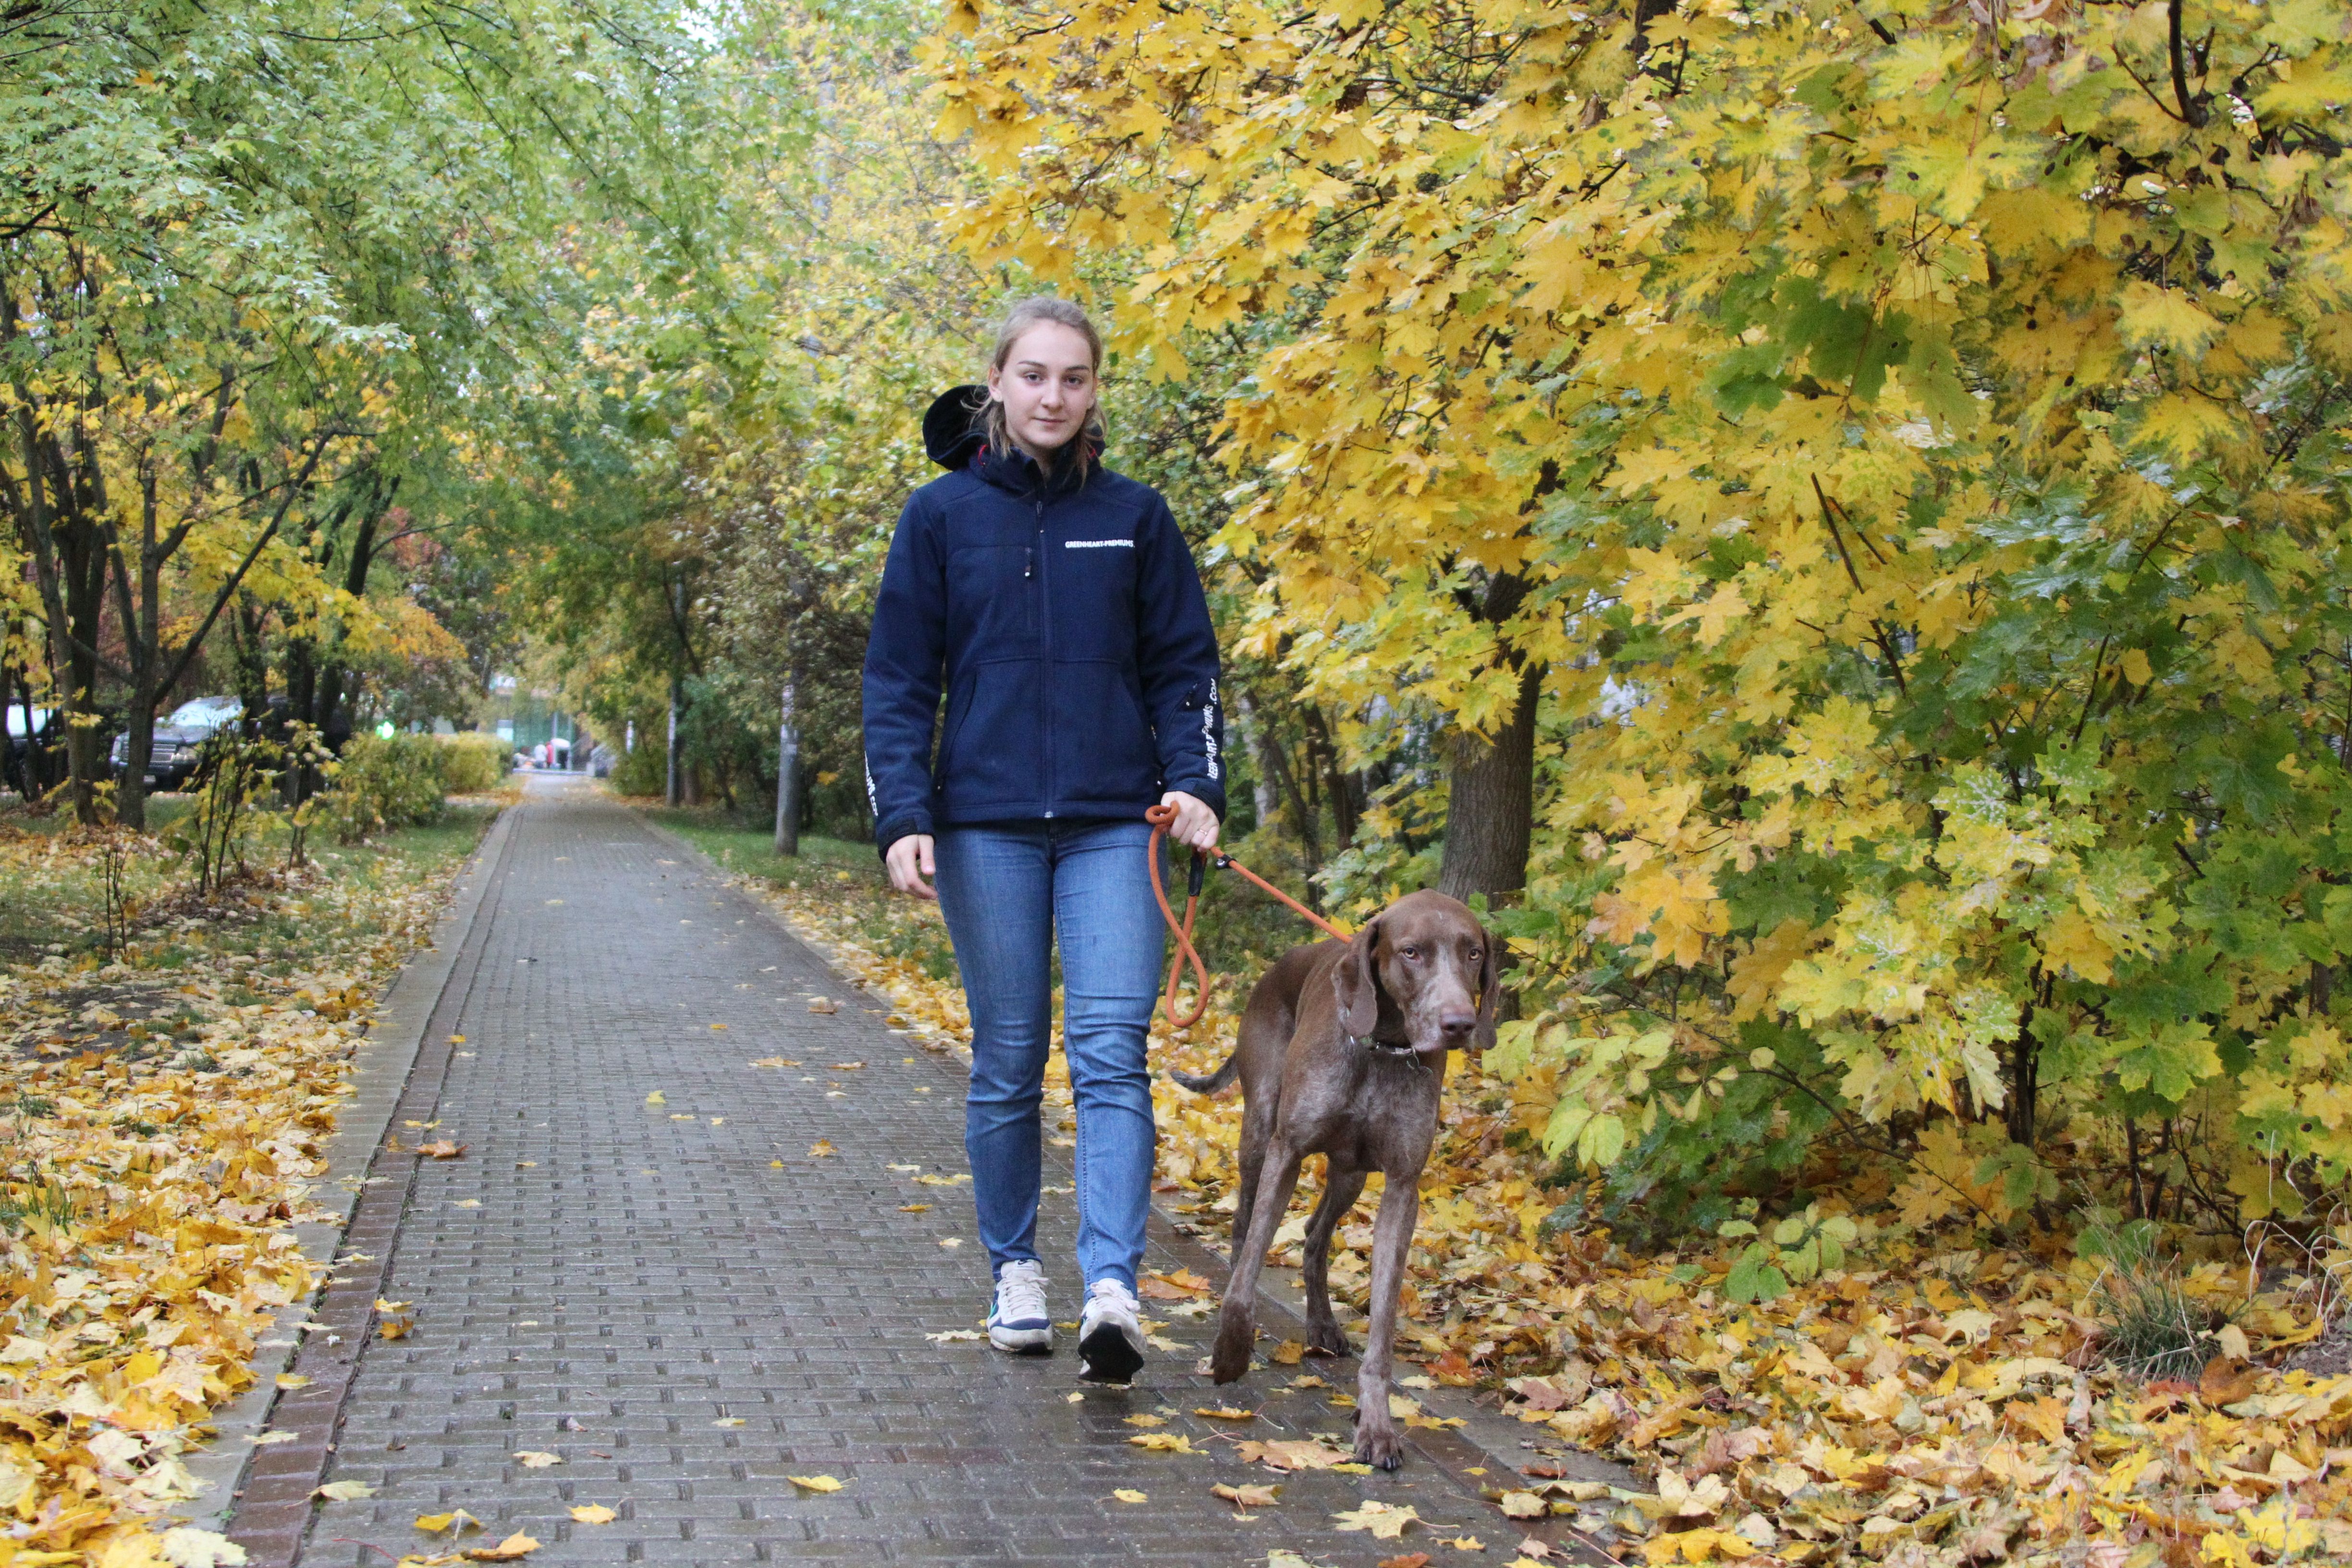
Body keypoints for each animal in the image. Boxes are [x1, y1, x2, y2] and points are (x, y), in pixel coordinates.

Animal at [1171, 893, 1486, 1476]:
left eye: (1473, 953)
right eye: (1411, 952)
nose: (1459, 1023)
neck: (1382, 1047)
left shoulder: (1401, 1188)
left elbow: (1382, 1328)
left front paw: (1377, 1426)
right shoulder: (1287, 1151)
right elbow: (1249, 1269)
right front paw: (1231, 1350)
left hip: (1352, 1174)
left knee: (1316, 1236)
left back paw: (1322, 1324)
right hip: (1259, 1135)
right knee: (1243, 1227)